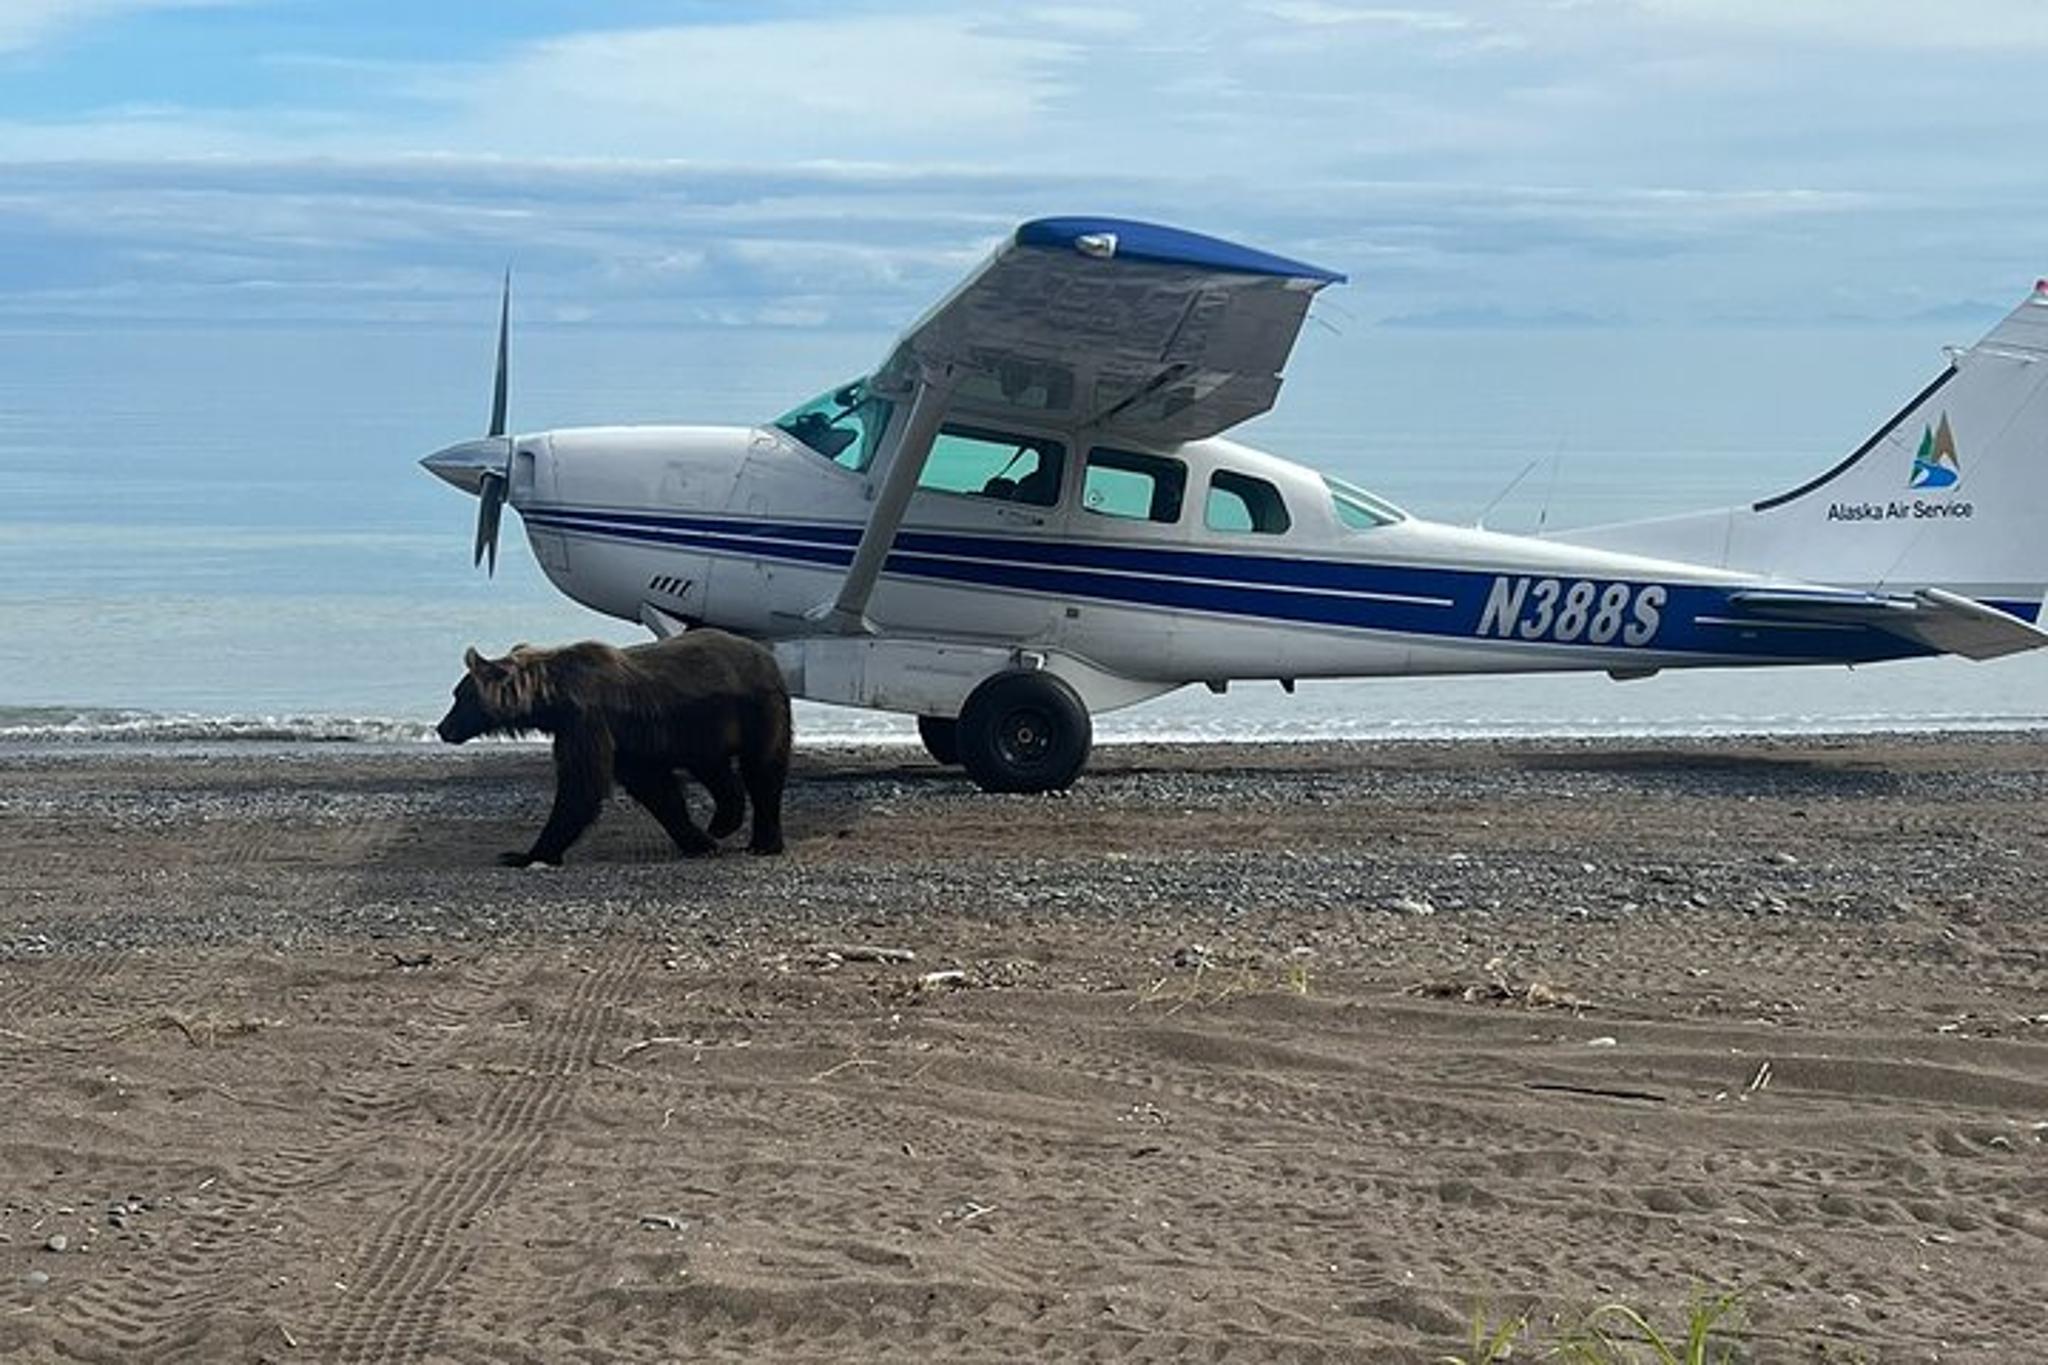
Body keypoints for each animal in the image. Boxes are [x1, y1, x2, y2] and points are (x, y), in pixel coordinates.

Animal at [435, 629, 791, 867]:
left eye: (459, 696)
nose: (442, 728)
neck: (553, 700)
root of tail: (769, 656)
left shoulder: (587, 720)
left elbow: (581, 785)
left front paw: (527, 853)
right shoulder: (628, 744)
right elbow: (656, 790)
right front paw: (699, 842)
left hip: (757, 708)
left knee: (763, 770)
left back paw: (764, 842)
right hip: (703, 730)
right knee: (717, 771)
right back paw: (722, 823)